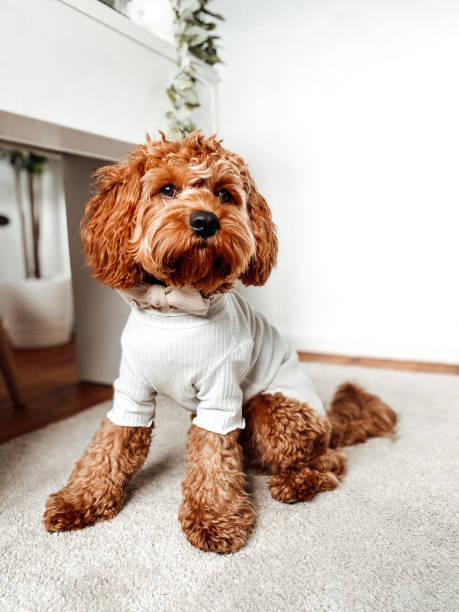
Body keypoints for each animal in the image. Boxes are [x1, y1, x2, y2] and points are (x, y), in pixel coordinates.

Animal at [43, 131, 398, 552]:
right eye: (167, 189)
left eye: (225, 194)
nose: (205, 220)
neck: (175, 308)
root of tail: (329, 420)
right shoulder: (131, 391)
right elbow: (108, 445)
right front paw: (79, 499)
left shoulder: (221, 394)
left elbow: (213, 456)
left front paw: (214, 518)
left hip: (273, 409)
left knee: (329, 462)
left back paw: (295, 482)